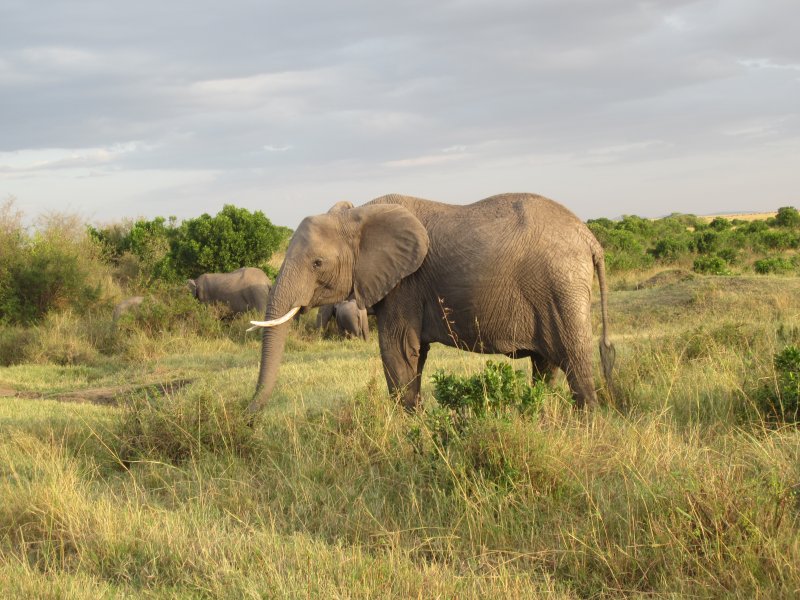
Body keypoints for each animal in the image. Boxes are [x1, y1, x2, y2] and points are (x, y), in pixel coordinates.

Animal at [248, 193, 614, 413]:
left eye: (317, 264)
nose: (249, 415)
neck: (359, 215)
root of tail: (590, 239)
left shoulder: (406, 284)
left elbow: (397, 350)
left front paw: (408, 427)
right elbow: (414, 354)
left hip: (560, 287)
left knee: (574, 359)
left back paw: (587, 424)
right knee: (545, 365)